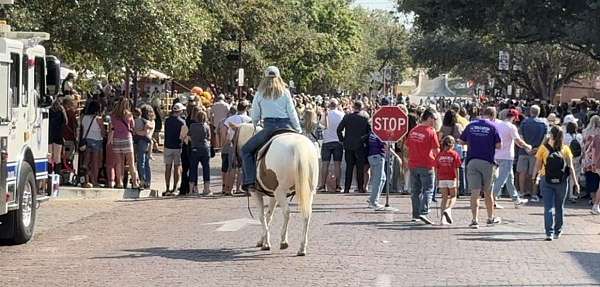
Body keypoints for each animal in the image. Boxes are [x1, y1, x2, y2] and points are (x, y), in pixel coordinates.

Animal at [233, 124, 318, 256]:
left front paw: (266, 243)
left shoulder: (256, 193)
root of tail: (298, 146)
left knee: (287, 213)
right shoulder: (273, 196)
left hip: (280, 192)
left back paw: (283, 241)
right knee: (306, 215)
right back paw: (302, 247)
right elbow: (269, 216)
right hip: (308, 192)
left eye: (232, 140)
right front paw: (262, 240)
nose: (233, 163)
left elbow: (261, 216)